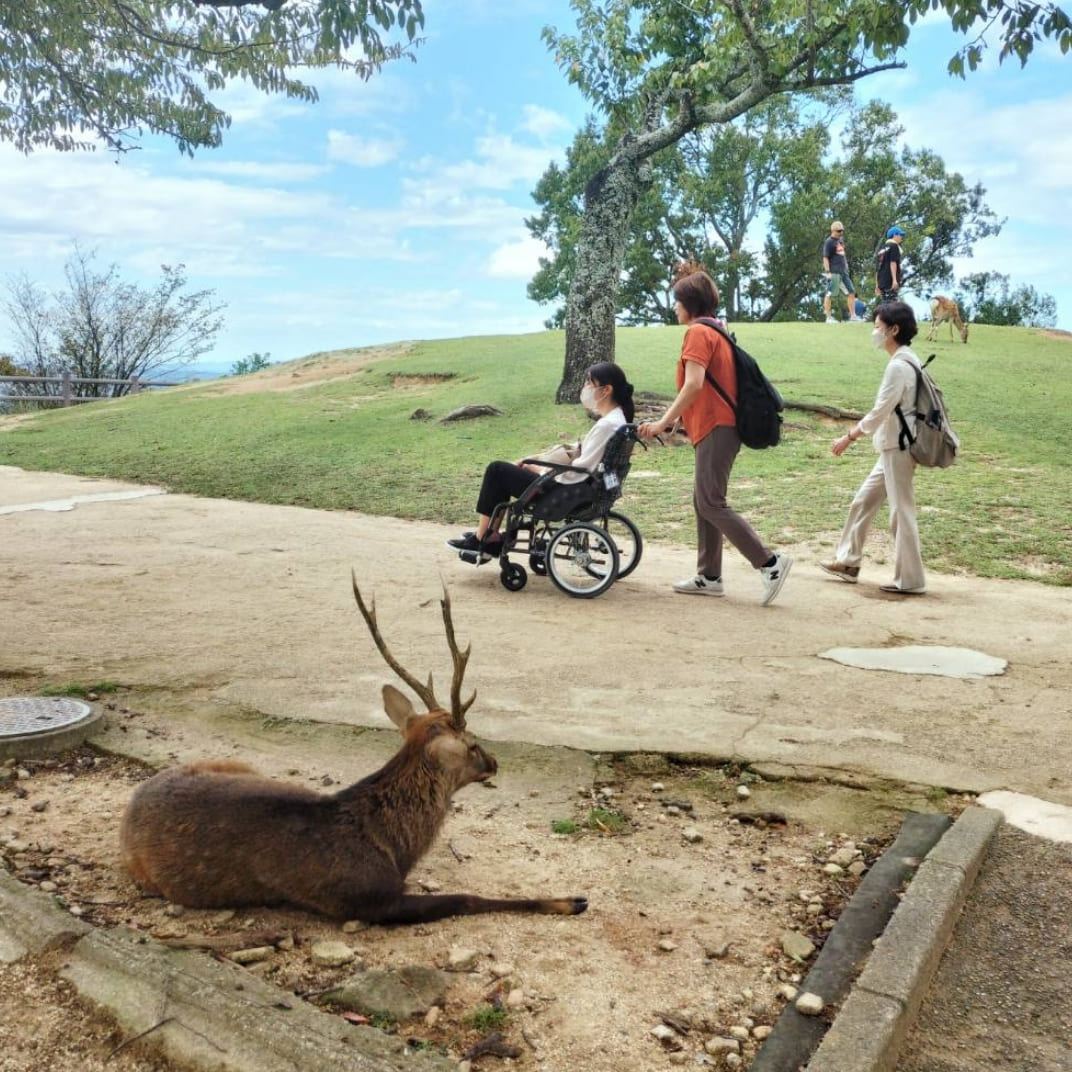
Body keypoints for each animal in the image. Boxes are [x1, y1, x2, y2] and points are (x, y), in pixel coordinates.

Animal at [121, 578, 591, 921]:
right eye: (473, 743)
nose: (495, 761)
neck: (392, 846)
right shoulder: (368, 899)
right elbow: (467, 898)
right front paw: (569, 900)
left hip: (240, 765)